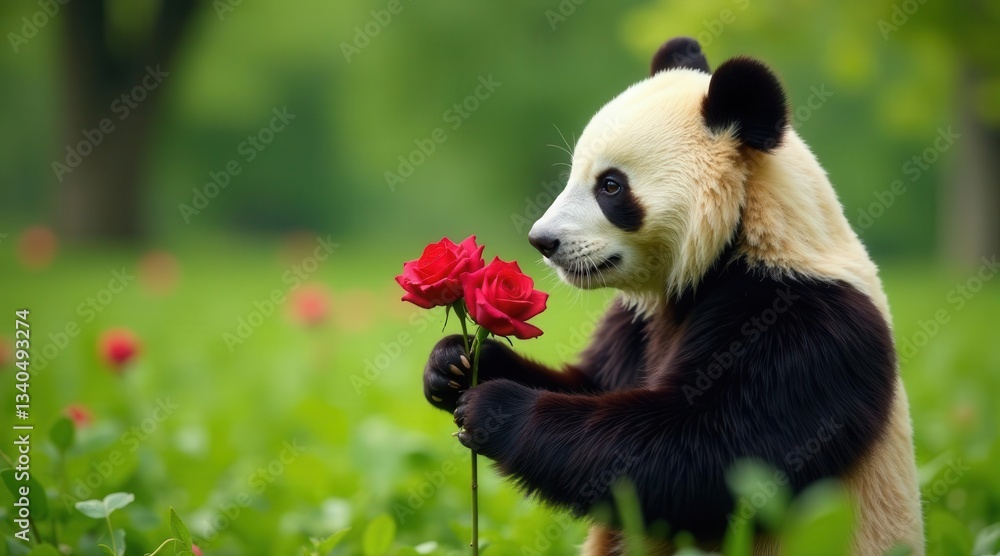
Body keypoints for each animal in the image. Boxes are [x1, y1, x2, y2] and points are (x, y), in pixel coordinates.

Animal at [423, 37, 924, 555]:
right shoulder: (639, 322)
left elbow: (709, 453)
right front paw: (457, 363)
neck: (743, 236)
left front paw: (493, 408)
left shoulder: (802, 320)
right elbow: (594, 385)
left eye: (610, 185)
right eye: (574, 174)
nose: (543, 241)